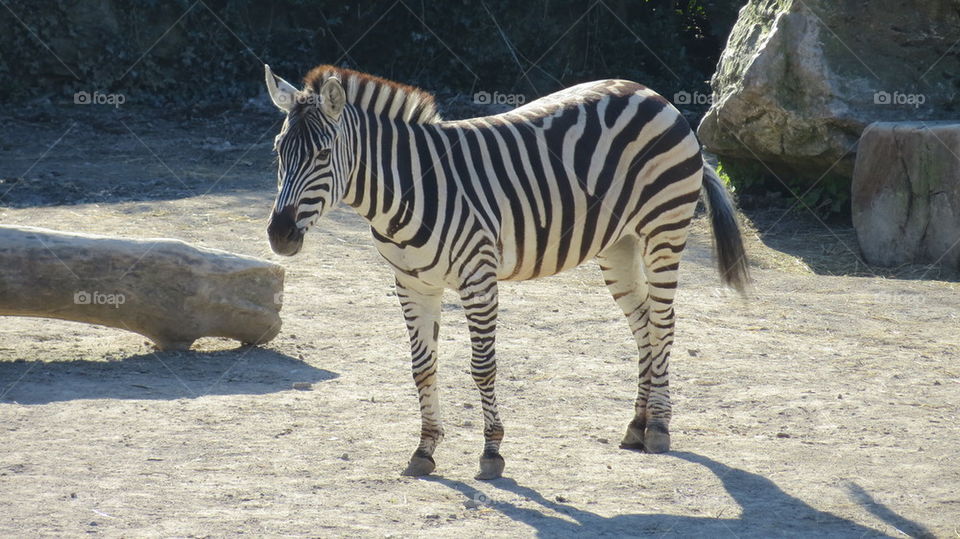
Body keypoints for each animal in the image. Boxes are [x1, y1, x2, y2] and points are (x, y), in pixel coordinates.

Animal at [264, 64, 749, 480]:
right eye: (277, 151)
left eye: (323, 154)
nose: (279, 235)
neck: (411, 188)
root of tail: (652, 94)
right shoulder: (412, 284)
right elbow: (423, 367)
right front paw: (424, 449)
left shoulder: (478, 277)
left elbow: (482, 367)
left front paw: (492, 451)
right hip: (619, 245)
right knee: (645, 326)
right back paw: (637, 424)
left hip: (662, 229)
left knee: (664, 323)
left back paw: (659, 428)